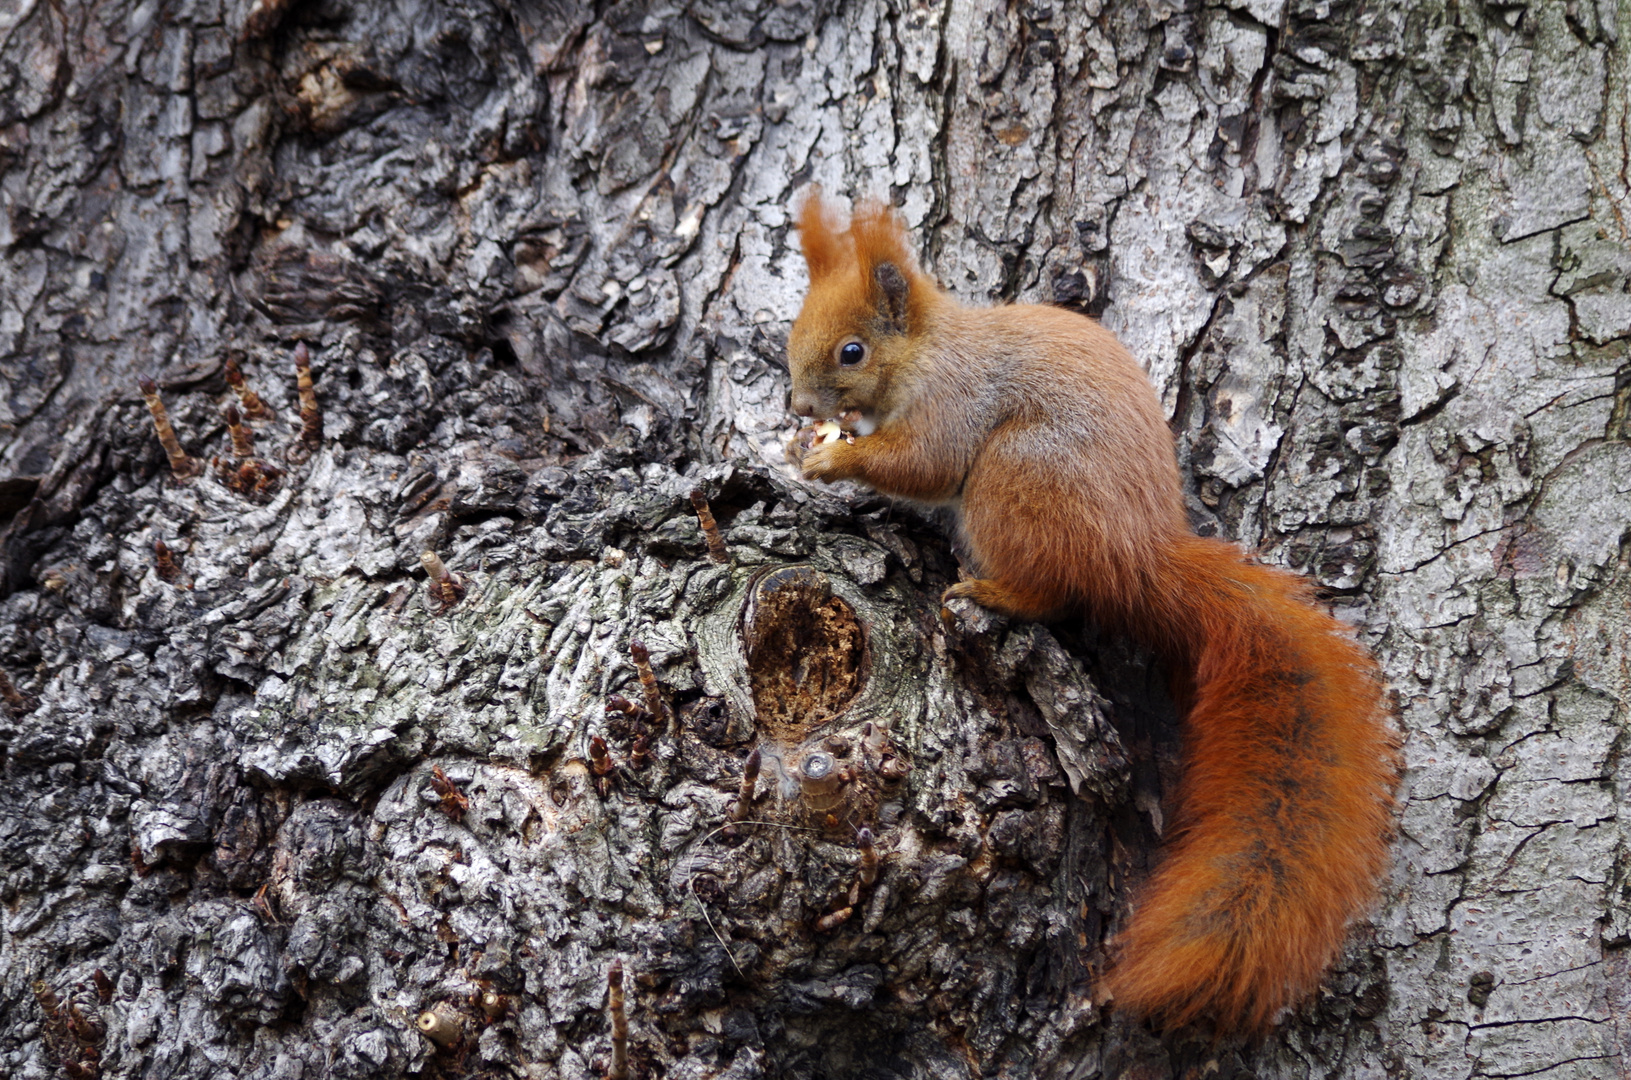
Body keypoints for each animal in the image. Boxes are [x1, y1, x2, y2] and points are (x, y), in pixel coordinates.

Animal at [782, 192, 1396, 1031]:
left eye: (851, 351)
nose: (798, 406)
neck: (925, 351)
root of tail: (1136, 559)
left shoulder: (951, 400)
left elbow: (923, 462)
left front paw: (834, 457)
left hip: (1015, 483)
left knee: (1048, 589)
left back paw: (988, 591)